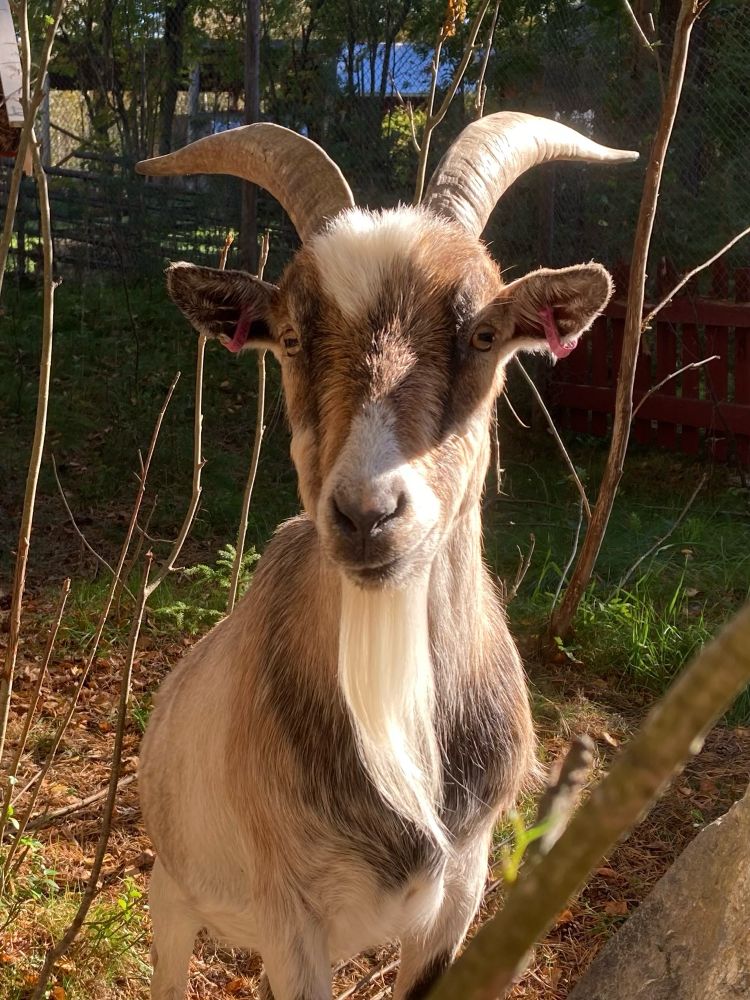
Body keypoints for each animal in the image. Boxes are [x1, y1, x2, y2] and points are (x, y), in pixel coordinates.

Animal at [135, 112, 637, 1000]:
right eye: (289, 335)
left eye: (483, 333)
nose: (368, 515)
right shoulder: (290, 919)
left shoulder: (459, 894)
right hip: (174, 895)